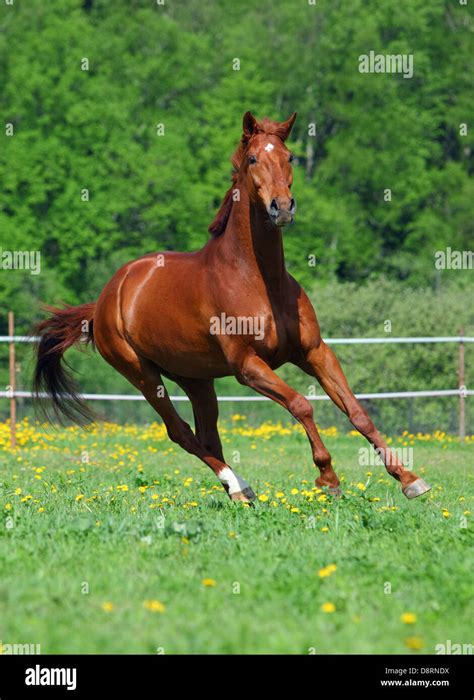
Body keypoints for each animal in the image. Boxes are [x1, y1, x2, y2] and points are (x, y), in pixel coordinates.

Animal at [35, 110, 432, 504]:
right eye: (253, 158)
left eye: (289, 157)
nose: (282, 208)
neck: (260, 281)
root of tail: (106, 298)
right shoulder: (248, 366)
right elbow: (301, 404)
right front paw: (328, 478)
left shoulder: (315, 352)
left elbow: (357, 411)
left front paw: (409, 479)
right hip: (142, 374)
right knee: (180, 432)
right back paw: (239, 484)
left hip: (195, 379)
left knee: (206, 434)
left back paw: (238, 491)